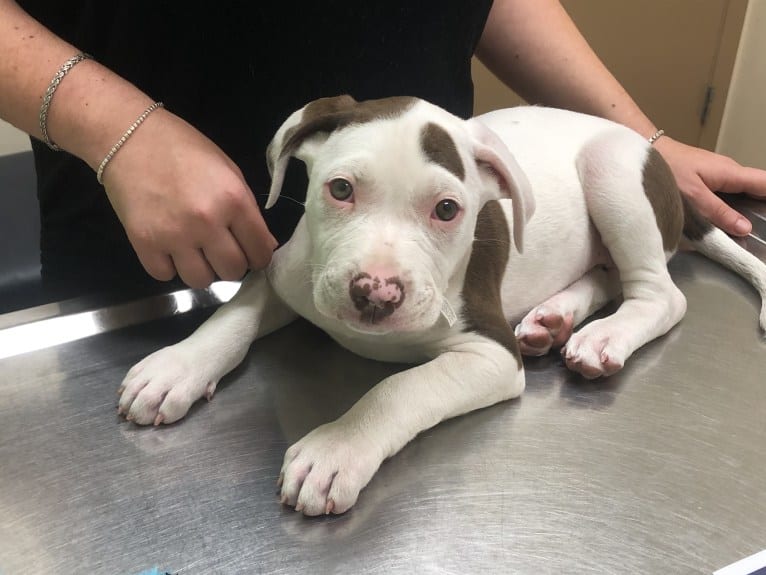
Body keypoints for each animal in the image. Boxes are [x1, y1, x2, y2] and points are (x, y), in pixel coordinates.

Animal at [115, 95, 766, 516]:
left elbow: (398, 389)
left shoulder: (489, 355)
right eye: (340, 189)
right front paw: (176, 367)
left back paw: (603, 337)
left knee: (660, 294)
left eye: (448, 210)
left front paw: (338, 447)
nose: (375, 293)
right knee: (607, 277)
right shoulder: (288, 274)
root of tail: (655, 157)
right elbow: (234, 313)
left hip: (612, 176)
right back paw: (552, 319)